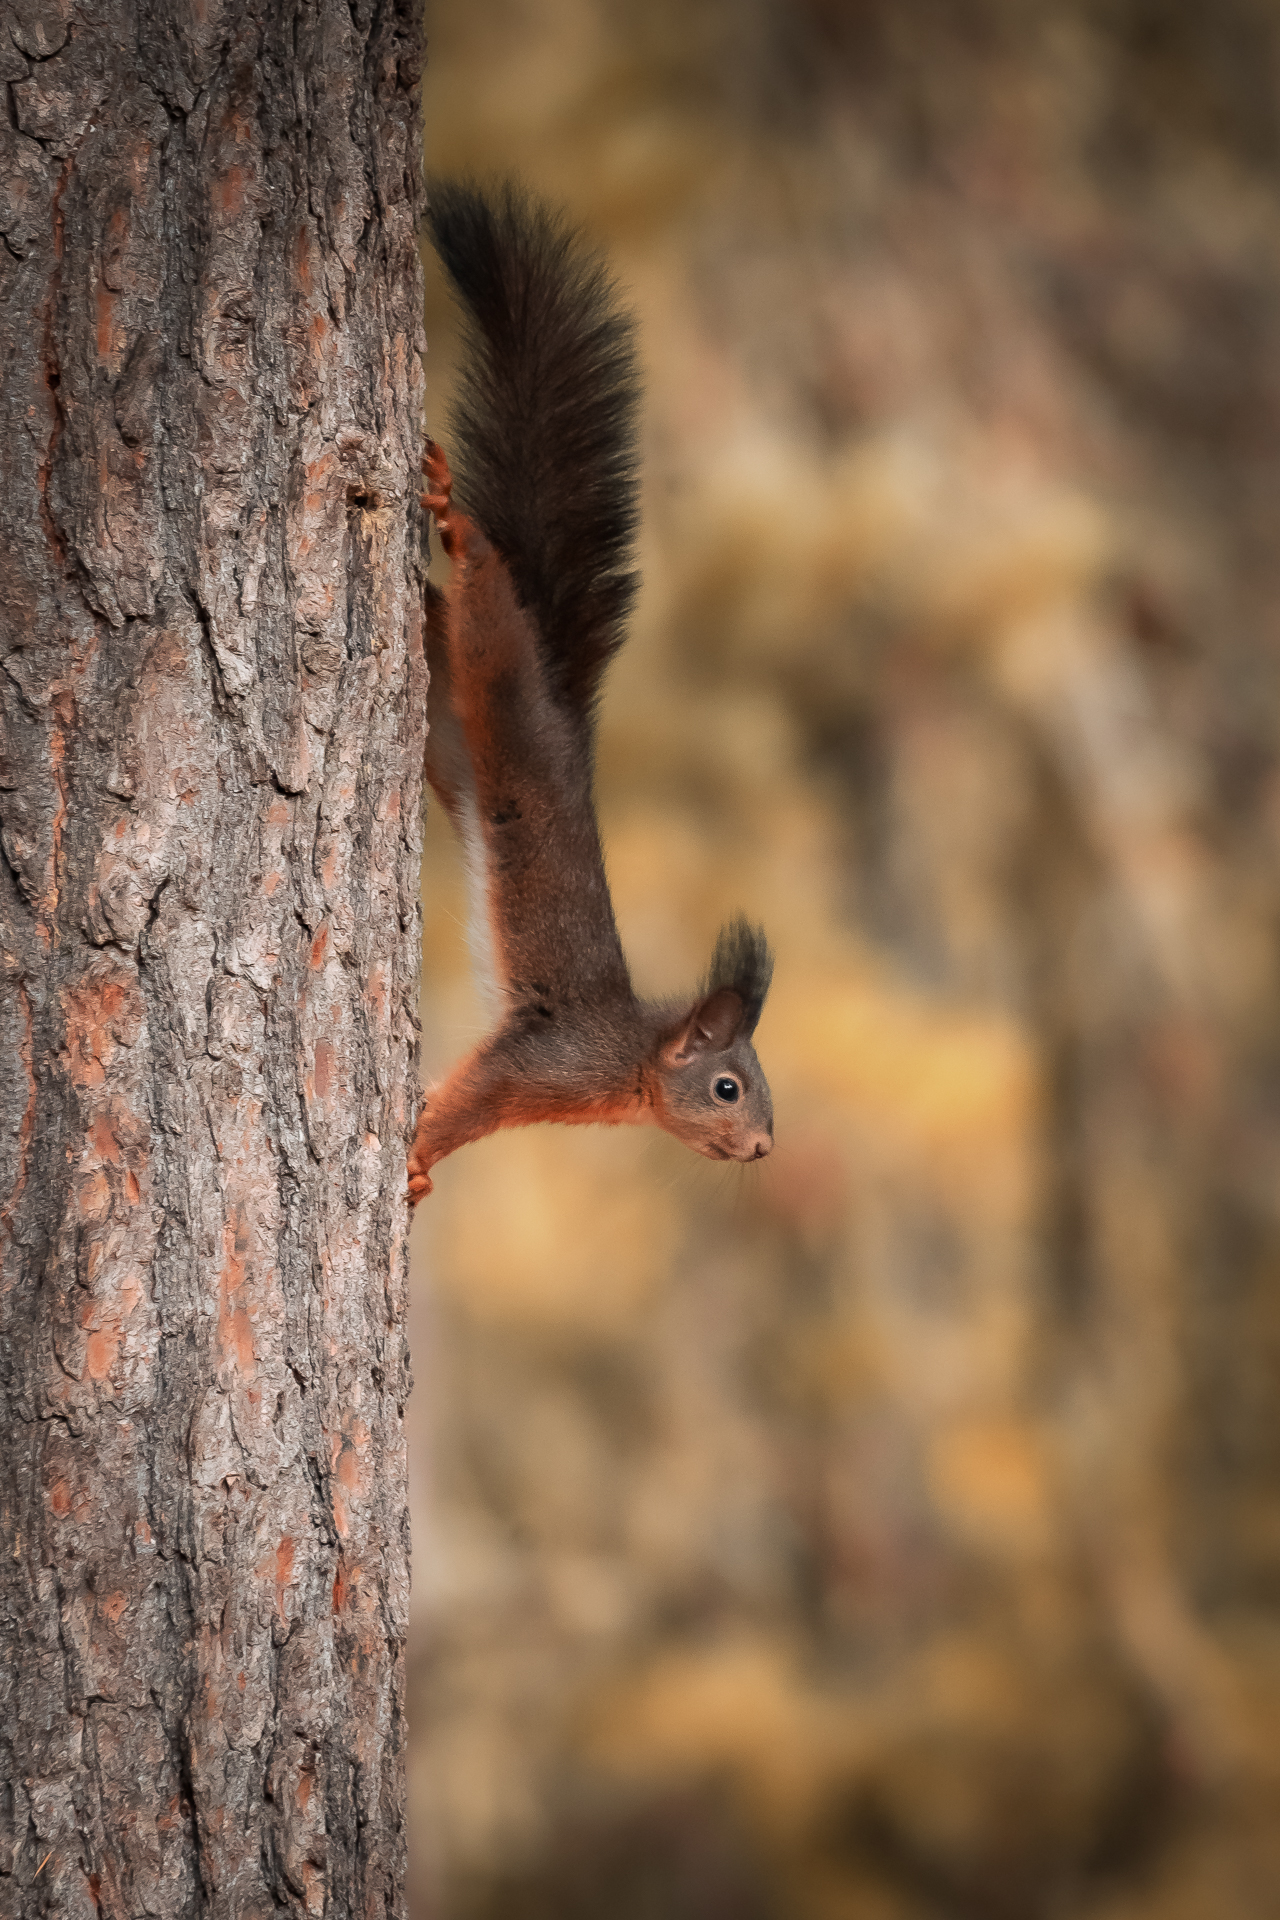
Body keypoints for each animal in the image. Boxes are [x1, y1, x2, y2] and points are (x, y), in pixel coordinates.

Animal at [408, 180, 774, 1204]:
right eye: (728, 1088)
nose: (766, 1149)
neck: (634, 1070)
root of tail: (565, 713)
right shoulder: (544, 1061)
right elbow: (467, 1100)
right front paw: (414, 1153)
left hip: (452, 737)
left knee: (439, 640)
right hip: (500, 667)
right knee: (485, 590)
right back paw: (457, 524)